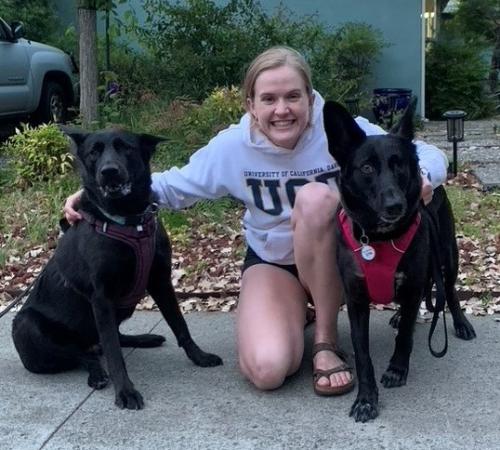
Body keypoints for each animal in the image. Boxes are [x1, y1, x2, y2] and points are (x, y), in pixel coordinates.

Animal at [11, 128, 223, 410]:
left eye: (126, 148)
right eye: (94, 152)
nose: (109, 171)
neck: (130, 222)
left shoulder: (161, 282)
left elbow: (180, 325)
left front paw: (199, 356)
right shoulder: (101, 298)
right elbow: (113, 354)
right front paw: (125, 391)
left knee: (111, 339)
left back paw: (144, 338)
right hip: (27, 325)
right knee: (84, 354)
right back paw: (97, 373)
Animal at [322, 98, 474, 422]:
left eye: (399, 164)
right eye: (367, 167)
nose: (396, 205)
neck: (379, 239)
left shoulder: (414, 281)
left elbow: (404, 336)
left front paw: (396, 369)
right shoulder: (355, 299)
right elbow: (362, 353)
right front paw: (366, 399)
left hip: (447, 255)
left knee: (448, 291)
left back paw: (460, 323)